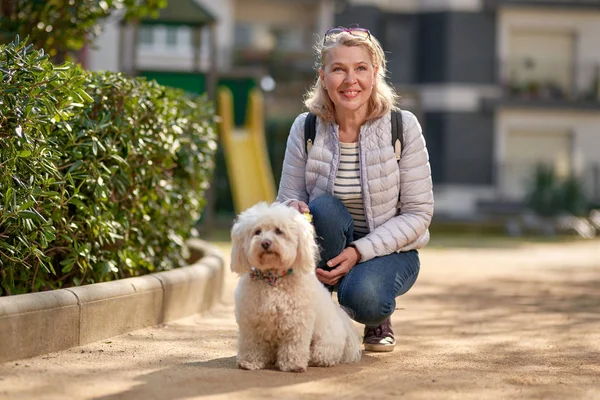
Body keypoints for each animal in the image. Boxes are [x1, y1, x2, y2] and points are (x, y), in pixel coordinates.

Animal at [230, 202, 360, 374]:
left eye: (279, 231)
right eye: (257, 232)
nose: (265, 243)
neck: (273, 279)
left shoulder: (297, 322)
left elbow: (293, 345)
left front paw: (292, 364)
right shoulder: (251, 322)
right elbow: (252, 343)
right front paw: (249, 362)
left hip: (325, 342)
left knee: (323, 354)